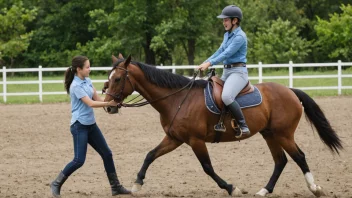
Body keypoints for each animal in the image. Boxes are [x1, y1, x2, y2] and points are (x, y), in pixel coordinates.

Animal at [103, 53, 342, 196]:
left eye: (117, 79)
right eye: (108, 78)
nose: (108, 107)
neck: (178, 98)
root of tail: (290, 91)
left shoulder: (195, 141)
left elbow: (207, 167)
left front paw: (231, 187)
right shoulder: (174, 138)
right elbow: (150, 155)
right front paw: (137, 183)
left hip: (284, 134)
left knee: (299, 156)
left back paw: (315, 187)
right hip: (270, 134)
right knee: (280, 161)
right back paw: (264, 190)